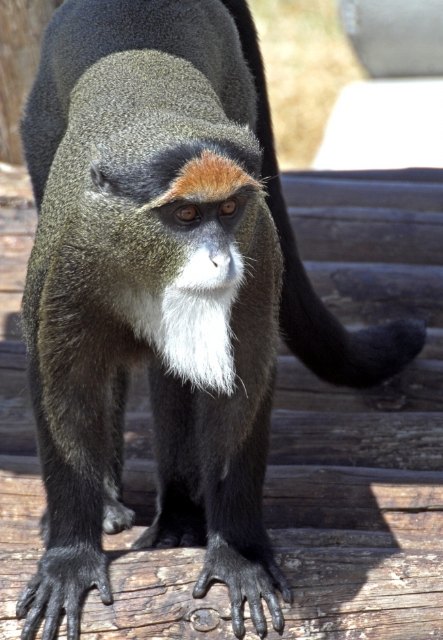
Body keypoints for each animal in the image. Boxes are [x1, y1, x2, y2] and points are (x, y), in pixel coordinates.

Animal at [16, 1, 425, 639]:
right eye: (186, 215)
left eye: (229, 209)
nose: (220, 259)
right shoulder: (64, 268)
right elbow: (65, 388)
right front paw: (70, 559)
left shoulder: (258, 263)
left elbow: (242, 393)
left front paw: (237, 554)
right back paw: (113, 504)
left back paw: (182, 517)